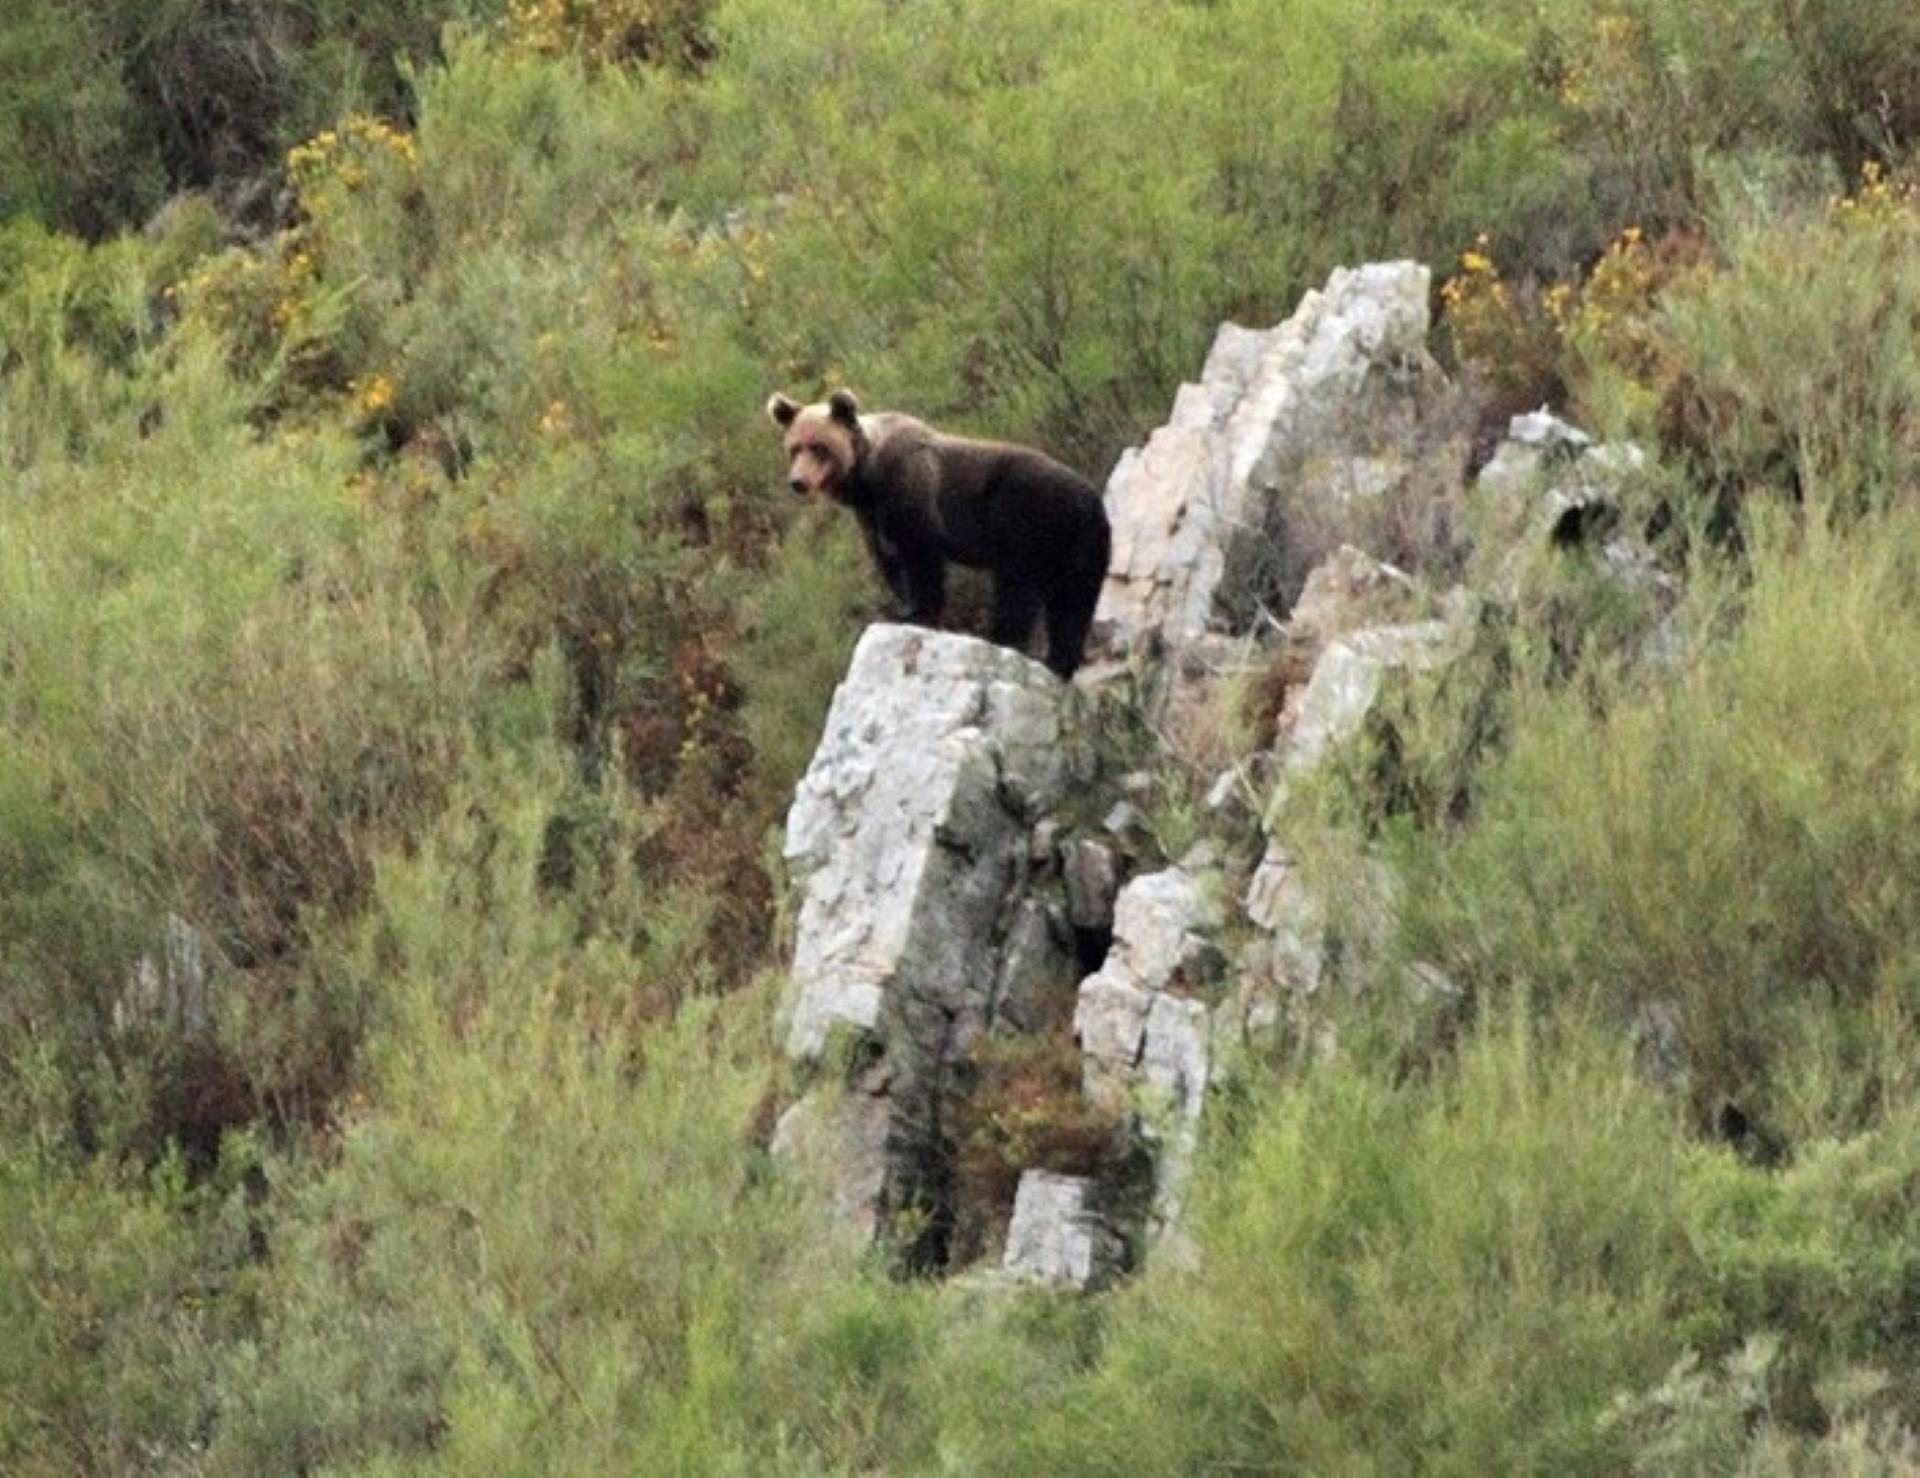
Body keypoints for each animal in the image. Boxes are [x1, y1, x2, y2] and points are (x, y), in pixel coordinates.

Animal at [767, 388, 1111, 679]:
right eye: (794, 448)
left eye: (818, 447)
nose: (798, 482)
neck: (867, 478)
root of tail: (1089, 503)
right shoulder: (872, 516)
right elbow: (888, 559)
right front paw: (903, 607)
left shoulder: (909, 486)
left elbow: (920, 553)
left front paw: (918, 613)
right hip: (1083, 548)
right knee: (1072, 605)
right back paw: (1056, 661)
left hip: (1028, 521)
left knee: (1018, 588)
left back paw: (1002, 639)